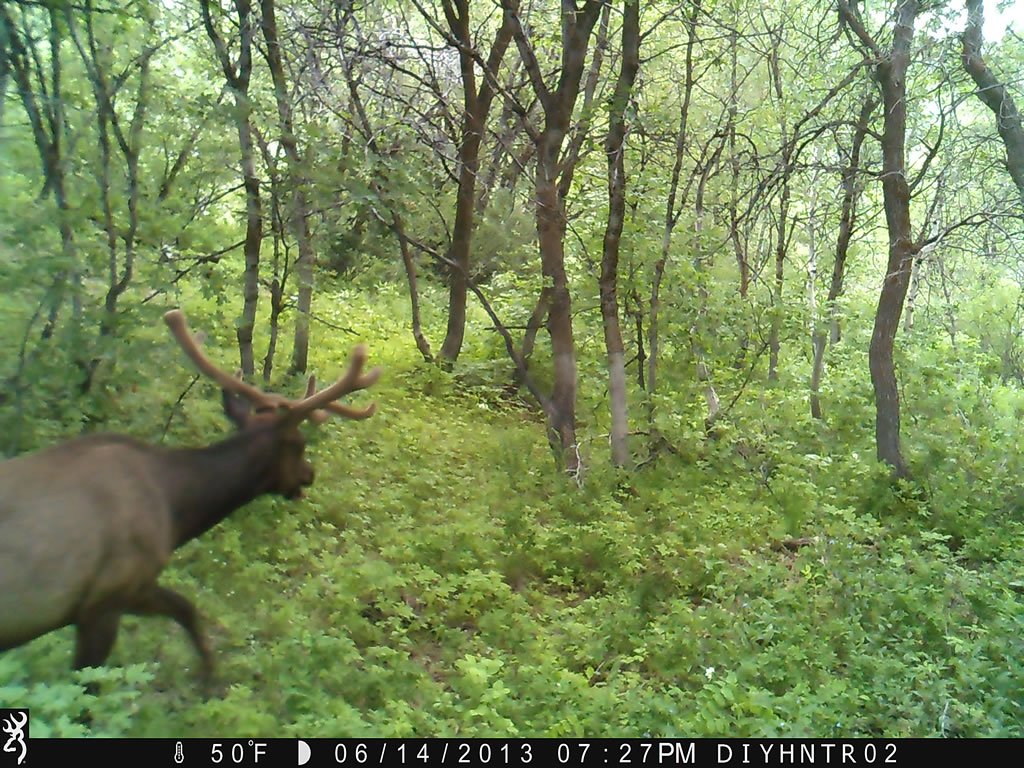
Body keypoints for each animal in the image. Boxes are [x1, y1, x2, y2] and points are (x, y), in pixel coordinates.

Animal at [0, 309, 380, 682]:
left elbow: (187, 608)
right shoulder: (109, 595)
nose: (309, 474)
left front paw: (209, 677)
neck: (174, 511)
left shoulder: (129, 590)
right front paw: (213, 680)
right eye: (299, 445)